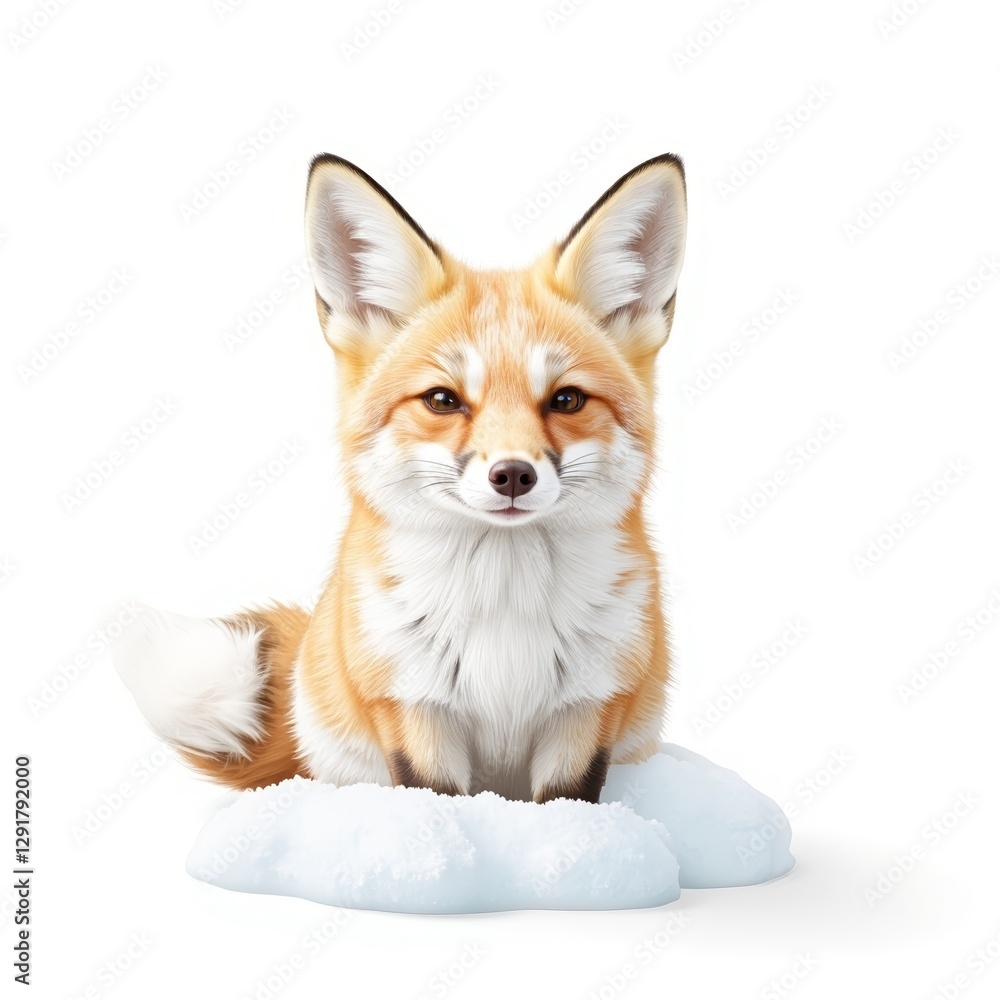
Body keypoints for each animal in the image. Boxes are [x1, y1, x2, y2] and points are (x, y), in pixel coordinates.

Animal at [115, 152, 688, 804]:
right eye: (442, 400)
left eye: (566, 399)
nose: (513, 474)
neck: (504, 620)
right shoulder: (410, 704)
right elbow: (433, 801)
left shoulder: (591, 707)